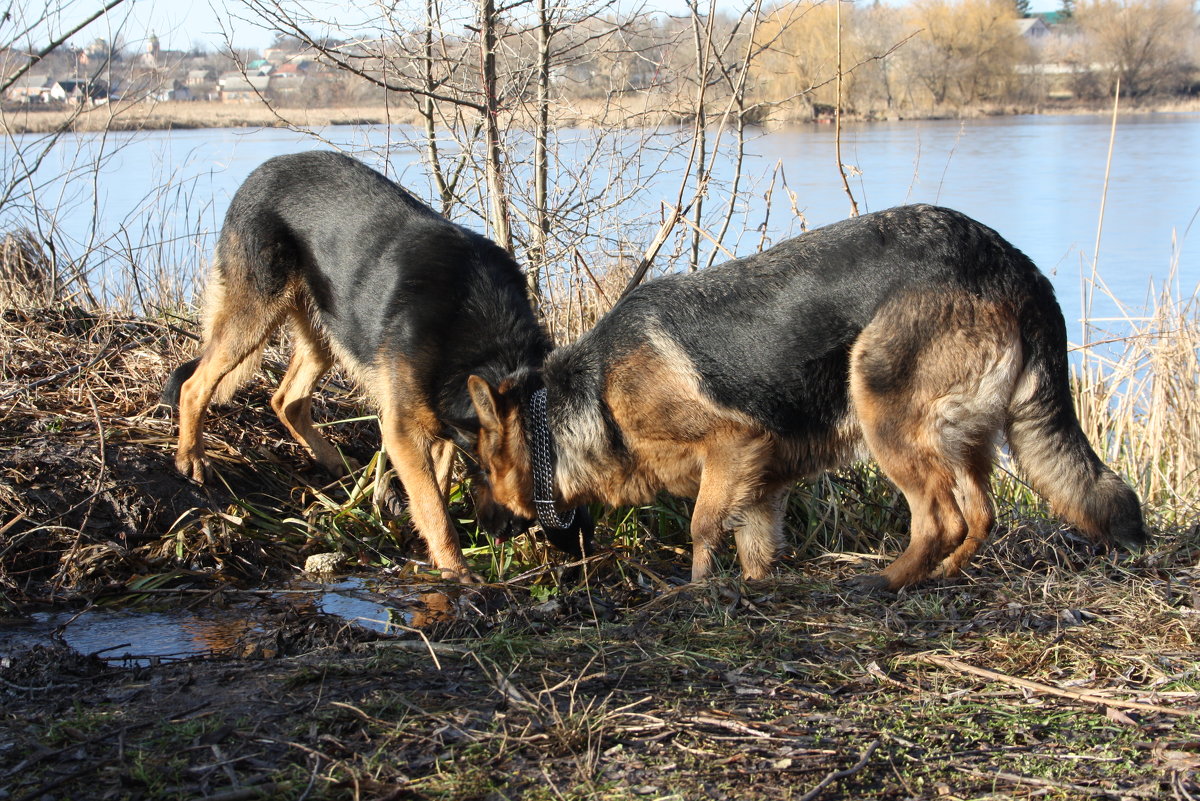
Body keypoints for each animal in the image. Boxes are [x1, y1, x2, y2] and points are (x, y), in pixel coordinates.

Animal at [159, 148, 590, 575]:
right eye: (486, 469)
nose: (496, 530)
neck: (491, 344)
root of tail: (261, 170)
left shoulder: (437, 424)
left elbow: (437, 486)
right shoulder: (403, 434)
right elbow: (435, 511)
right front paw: (457, 574)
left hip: (330, 329)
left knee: (287, 400)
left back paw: (336, 465)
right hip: (255, 315)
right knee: (195, 385)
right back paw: (190, 459)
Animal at [463, 203, 1147, 587]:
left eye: (479, 474)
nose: (477, 531)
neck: (587, 399)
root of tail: (1011, 260)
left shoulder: (732, 444)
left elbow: (703, 528)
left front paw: (696, 590)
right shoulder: (760, 482)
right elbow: (754, 544)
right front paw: (754, 586)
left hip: (883, 413)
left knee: (941, 517)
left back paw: (890, 581)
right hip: (962, 437)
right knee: (980, 514)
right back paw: (946, 574)